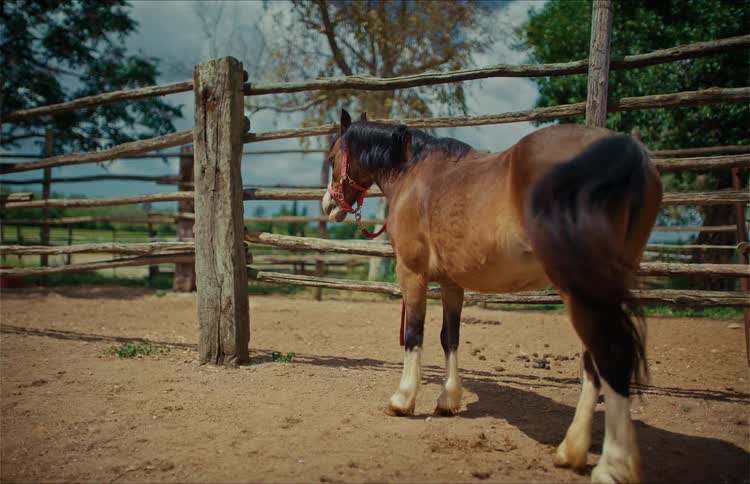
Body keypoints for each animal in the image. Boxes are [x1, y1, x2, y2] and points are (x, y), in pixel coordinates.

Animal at [321, 109, 663, 483]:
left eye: (332, 157)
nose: (328, 205)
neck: (414, 172)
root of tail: (626, 151)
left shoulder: (412, 273)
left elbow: (414, 334)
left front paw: (403, 400)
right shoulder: (452, 283)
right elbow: (449, 337)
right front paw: (448, 400)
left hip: (580, 290)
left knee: (611, 355)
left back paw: (613, 466)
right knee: (594, 361)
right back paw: (571, 451)